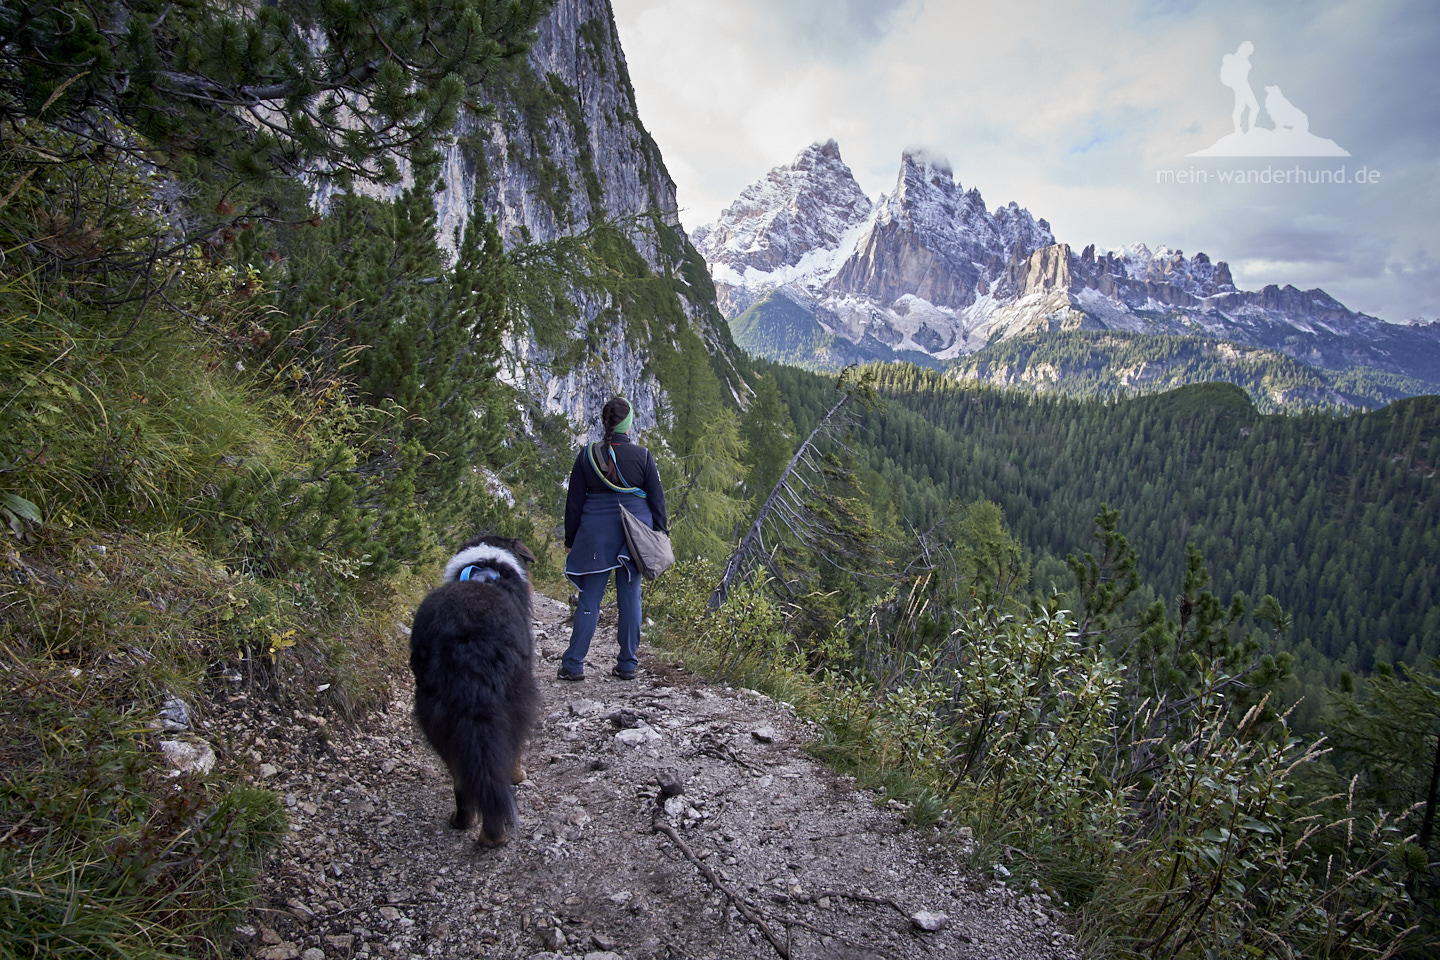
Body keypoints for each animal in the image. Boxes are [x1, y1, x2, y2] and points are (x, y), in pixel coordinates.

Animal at [408, 538, 538, 846]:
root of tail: (467, 634)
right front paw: (518, 775)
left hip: (436, 715)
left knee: (462, 777)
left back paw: (464, 821)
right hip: (515, 698)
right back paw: (494, 834)